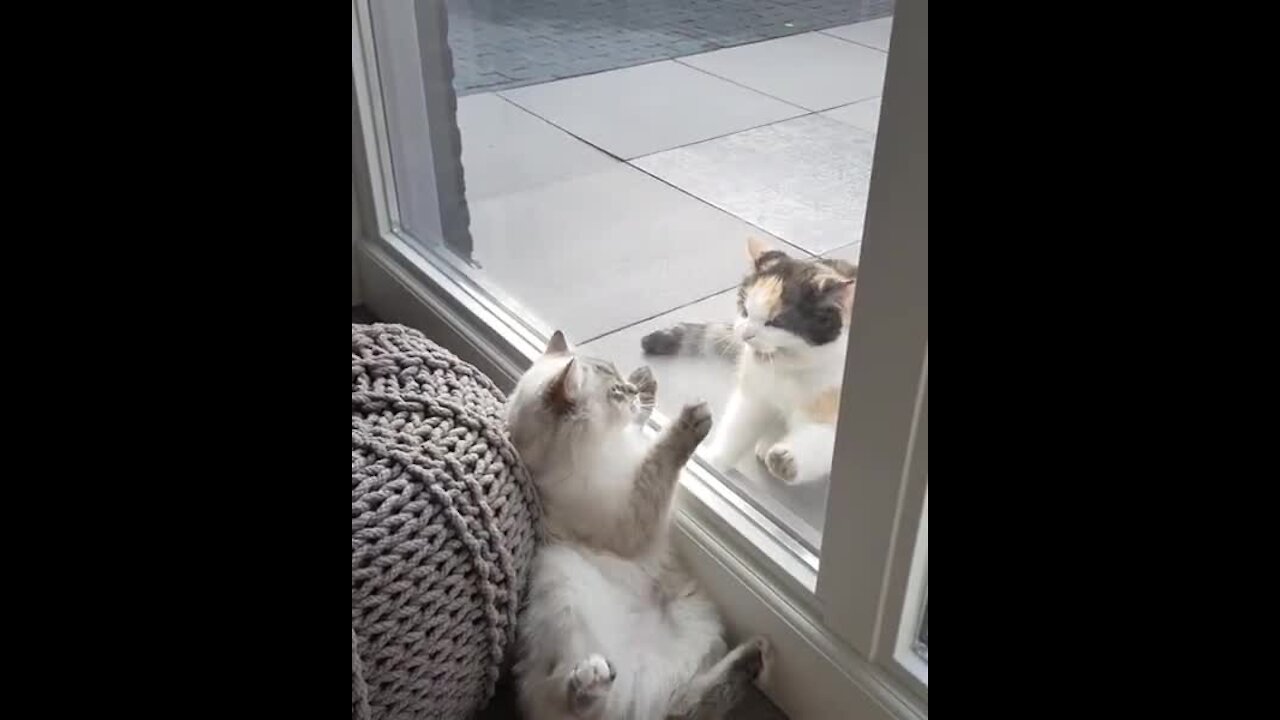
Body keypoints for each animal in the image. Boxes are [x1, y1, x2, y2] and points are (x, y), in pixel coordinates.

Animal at [506, 330, 768, 717]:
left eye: (620, 377)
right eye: (615, 391)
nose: (629, 389)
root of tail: (641, 709)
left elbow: (645, 431)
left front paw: (646, 381)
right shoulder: (632, 517)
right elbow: (658, 462)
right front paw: (691, 420)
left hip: (698, 623)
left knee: (687, 705)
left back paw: (756, 655)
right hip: (562, 590)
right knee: (577, 704)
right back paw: (591, 680)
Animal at [637, 237, 855, 481]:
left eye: (776, 322)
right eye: (745, 309)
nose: (745, 334)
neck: (789, 371)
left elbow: (821, 442)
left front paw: (787, 460)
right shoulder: (754, 395)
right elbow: (738, 428)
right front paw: (713, 462)